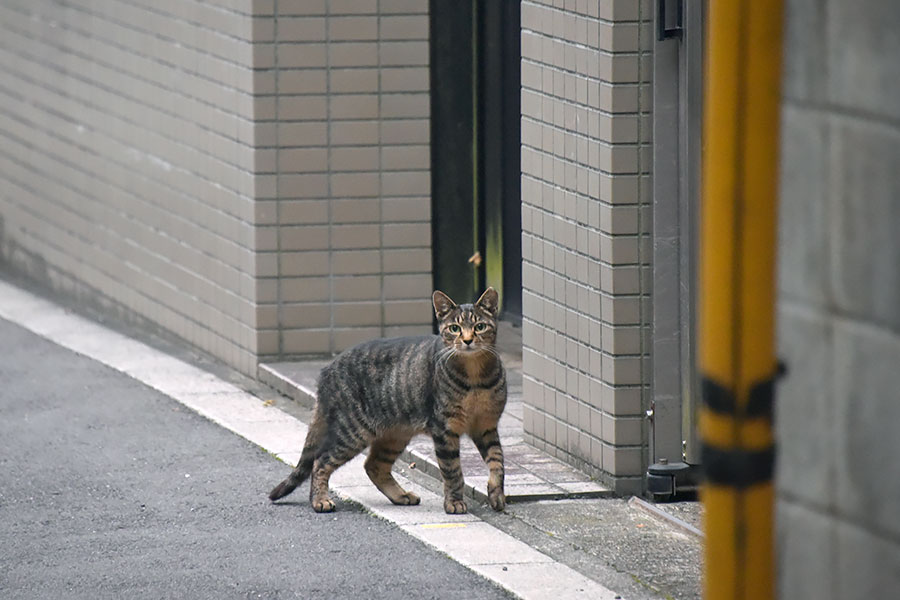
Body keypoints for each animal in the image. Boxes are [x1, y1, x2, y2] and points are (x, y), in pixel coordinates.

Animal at [268, 288, 506, 512]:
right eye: (455, 328)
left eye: (480, 326)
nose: (467, 340)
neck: (475, 378)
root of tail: (328, 369)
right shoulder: (444, 429)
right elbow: (452, 471)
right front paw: (455, 502)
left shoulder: (486, 426)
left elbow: (498, 460)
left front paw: (496, 494)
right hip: (353, 432)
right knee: (320, 460)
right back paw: (320, 500)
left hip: (395, 434)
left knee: (373, 465)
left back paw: (401, 496)